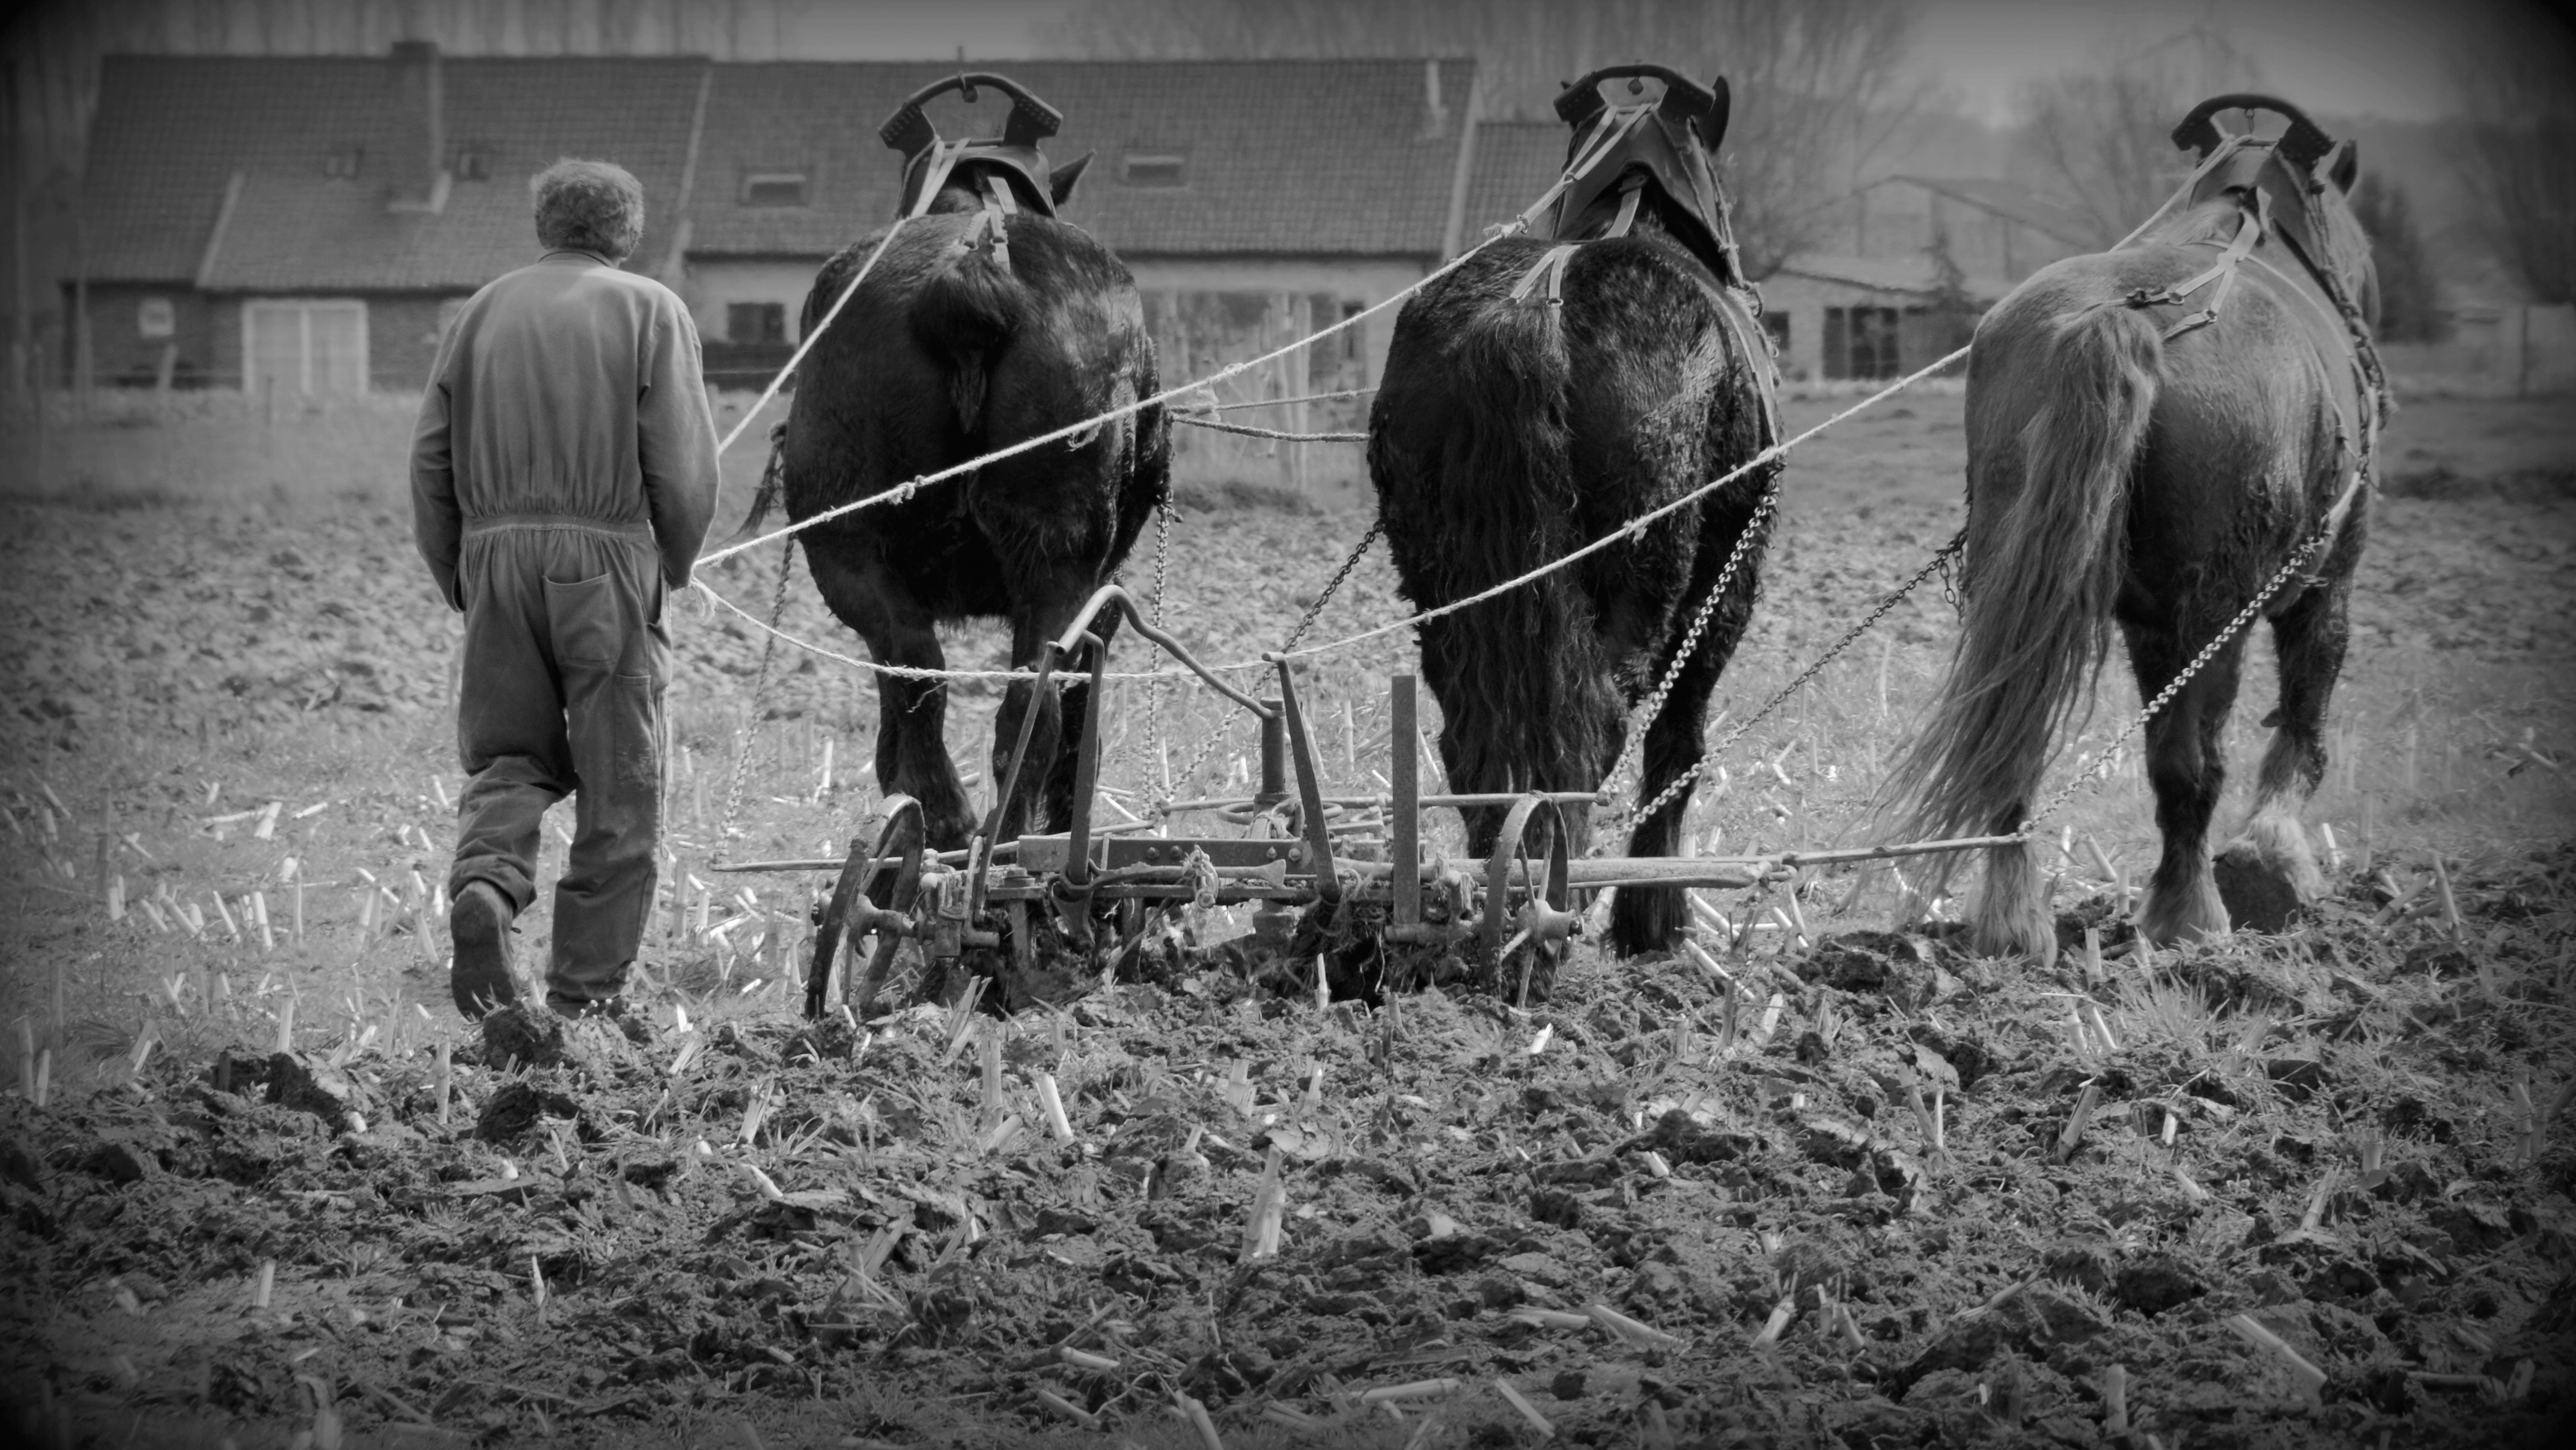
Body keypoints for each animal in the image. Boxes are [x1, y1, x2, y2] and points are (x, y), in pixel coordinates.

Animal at [746, 73, 1169, 852]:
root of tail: (971, 270)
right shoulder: (1106, 592)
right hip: (1058, 557)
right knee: (1030, 698)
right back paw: (994, 834)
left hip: (849, 547)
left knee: (919, 667)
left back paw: (940, 817)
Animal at [1370, 64, 1781, 961]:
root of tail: (1533, 314)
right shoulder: (1728, 583)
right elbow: (1680, 743)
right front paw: (1653, 920)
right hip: (1644, 572)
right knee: (1595, 724)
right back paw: (1561, 898)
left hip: (1446, 588)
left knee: (1472, 735)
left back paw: (1491, 889)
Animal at [1885, 94, 2383, 958]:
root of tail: (2122, 321)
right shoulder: (2326, 584)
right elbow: (2301, 725)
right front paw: (2275, 857)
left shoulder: (2147, 625)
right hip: (2216, 613)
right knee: (2197, 762)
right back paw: (2192, 917)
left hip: (2017, 580)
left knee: (2018, 741)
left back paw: (2016, 922)